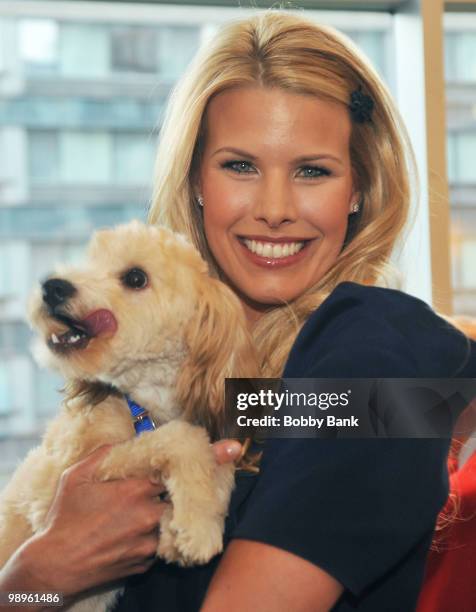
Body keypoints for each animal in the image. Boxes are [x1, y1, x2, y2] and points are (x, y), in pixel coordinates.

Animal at [0, 220, 258, 612]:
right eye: (89, 260)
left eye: (136, 278)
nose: (52, 286)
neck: (143, 402)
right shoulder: (59, 487)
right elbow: (179, 438)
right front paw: (198, 525)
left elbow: (221, 467)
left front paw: (182, 524)